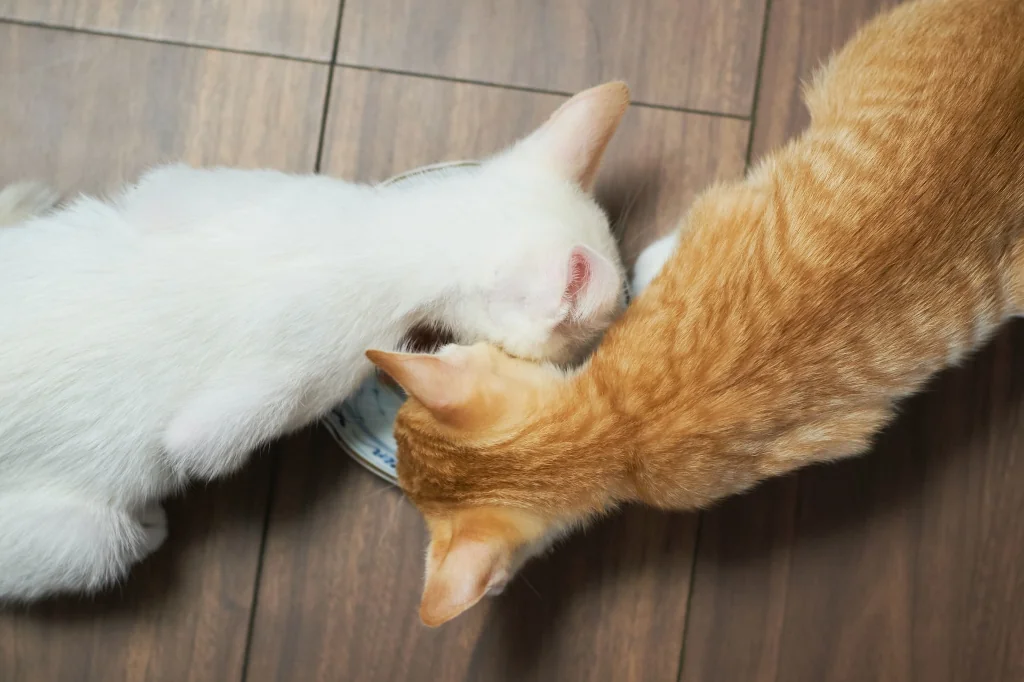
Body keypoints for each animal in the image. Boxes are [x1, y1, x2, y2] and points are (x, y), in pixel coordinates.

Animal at [0, 82, 630, 598]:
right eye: (575, 348)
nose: (587, 364)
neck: (381, 242)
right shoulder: (273, 396)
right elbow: (191, 448)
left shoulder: (187, 186)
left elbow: (158, 189)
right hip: (87, 540)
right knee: (118, 542)